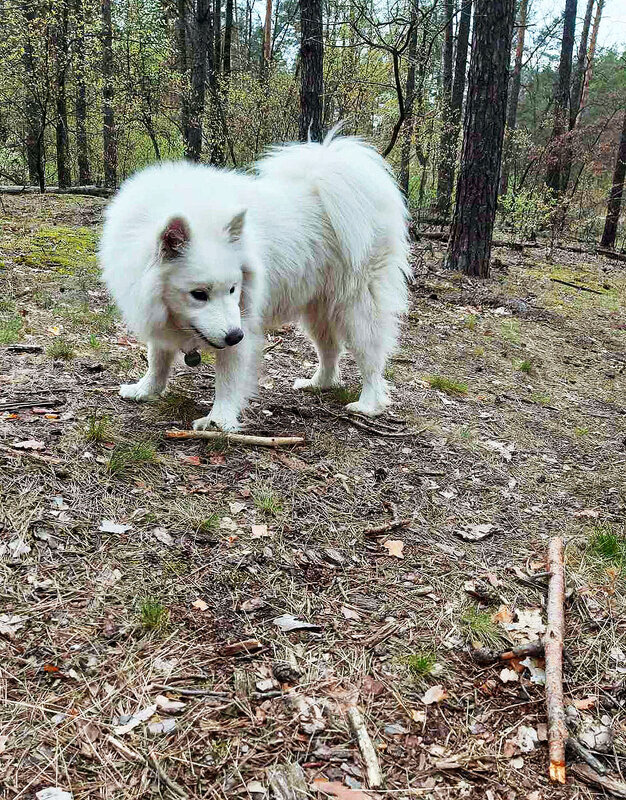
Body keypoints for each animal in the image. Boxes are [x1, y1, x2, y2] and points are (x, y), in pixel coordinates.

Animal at [98, 131, 410, 432]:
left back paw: (368, 404)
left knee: (371, 358)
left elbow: (227, 380)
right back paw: (318, 383)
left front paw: (218, 420)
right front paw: (145, 390)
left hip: (357, 308)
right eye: (198, 294)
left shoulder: (242, 322)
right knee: (330, 349)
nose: (234, 336)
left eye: (233, 289)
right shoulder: (159, 318)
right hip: (317, 310)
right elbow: (158, 359)